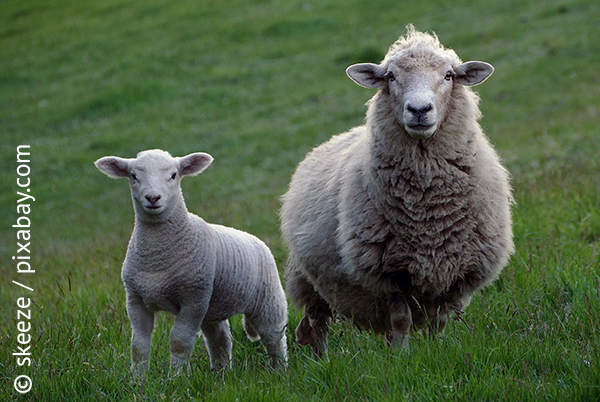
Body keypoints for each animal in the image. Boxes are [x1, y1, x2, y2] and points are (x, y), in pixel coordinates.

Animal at [95, 150, 288, 380]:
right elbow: (138, 345)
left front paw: (175, 379)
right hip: (212, 306)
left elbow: (180, 341)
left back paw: (279, 371)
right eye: (133, 176)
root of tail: (256, 239)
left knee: (274, 336)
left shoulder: (193, 298)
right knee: (220, 339)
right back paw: (221, 374)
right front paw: (137, 381)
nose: (153, 198)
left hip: (267, 298)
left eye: (173, 175)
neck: (156, 258)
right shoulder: (135, 299)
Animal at [278, 26, 512, 356]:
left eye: (449, 75)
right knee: (316, 323)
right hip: (308, 279)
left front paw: (435, 353)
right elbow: (401, 319)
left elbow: (439, 321)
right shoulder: (388, 273)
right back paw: (322, 360)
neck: (428, 209)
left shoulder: (455, 272)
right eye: (391, 76)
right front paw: (402, 358)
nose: (419, 109)